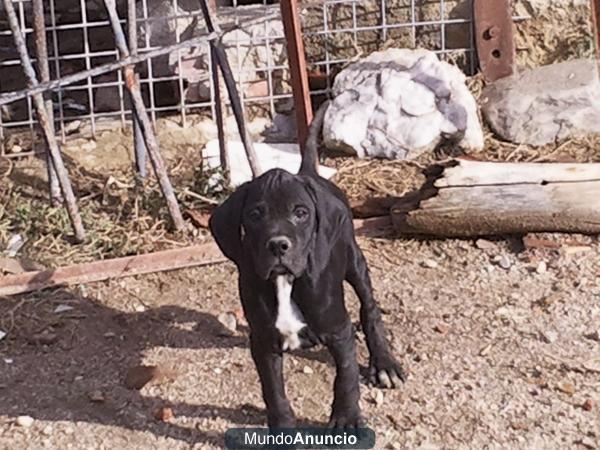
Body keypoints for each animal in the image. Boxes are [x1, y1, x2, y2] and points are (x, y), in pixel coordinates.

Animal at [209, 102, 406, 428]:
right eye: (255, 215)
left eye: (300, 213)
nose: (278, 245)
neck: (285, 282)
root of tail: (308, 172)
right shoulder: (263, 341)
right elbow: (273, 390)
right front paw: (282, 426)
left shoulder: (339, 331)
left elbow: (346, 376)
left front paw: (347, 417)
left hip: (354, 261)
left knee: (370, 308)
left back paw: (384, 363)